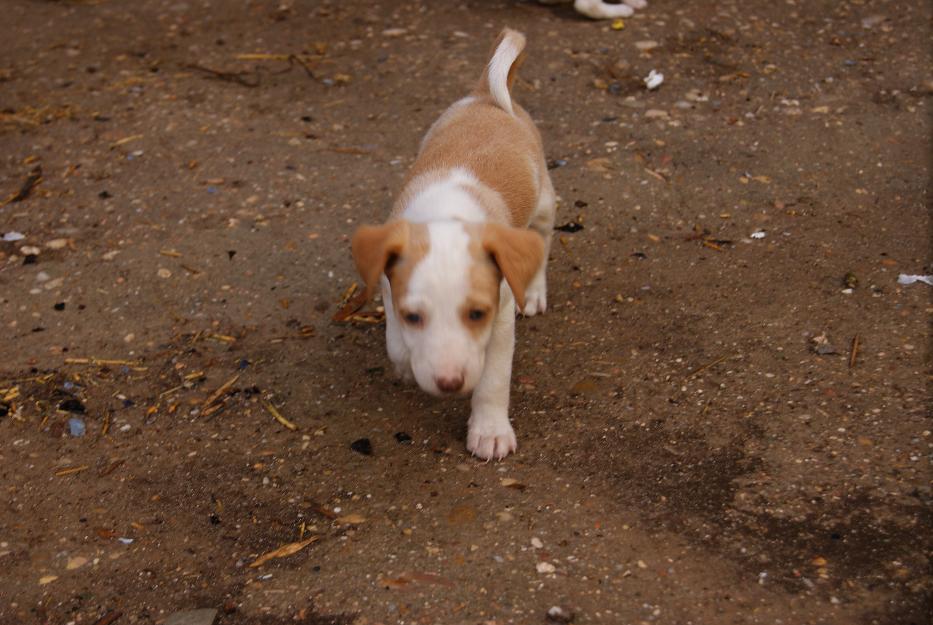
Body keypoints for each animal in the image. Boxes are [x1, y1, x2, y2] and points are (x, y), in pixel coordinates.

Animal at [350, 28, 552, 458]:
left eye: (476, 314)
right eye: (414, 316)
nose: (448, 383)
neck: (447, 215)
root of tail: (485, 95)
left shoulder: (501, 314)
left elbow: (493, 379)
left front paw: (489, 430)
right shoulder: (390, 284)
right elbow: (396, 342)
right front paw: (406, 363)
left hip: (543, 206)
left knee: (541, 245)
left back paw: (535, 291)